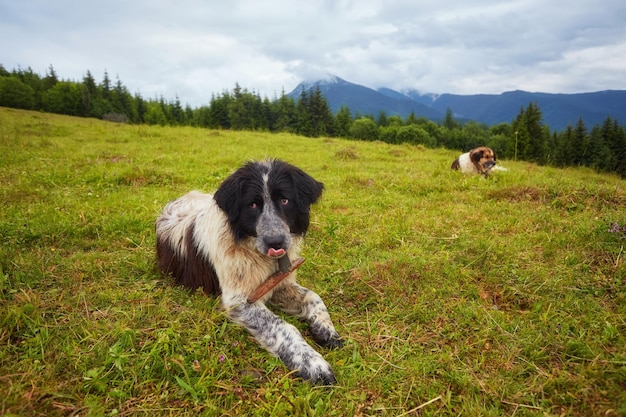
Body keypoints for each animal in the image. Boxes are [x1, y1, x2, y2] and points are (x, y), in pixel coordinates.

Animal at [155, 158, 342, 384]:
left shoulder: (279, 283)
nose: (275, 242)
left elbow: (313, 296)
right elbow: (283, 327)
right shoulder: (240, 301)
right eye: (252, 204)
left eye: (285, 200)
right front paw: (311, 363)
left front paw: (325, 328)